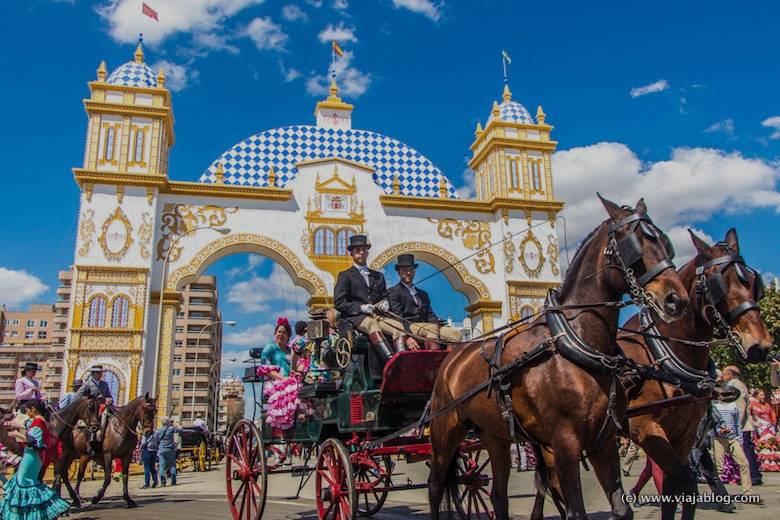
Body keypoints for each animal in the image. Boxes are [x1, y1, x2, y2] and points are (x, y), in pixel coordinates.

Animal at [426, 196, 688, 520]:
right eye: (634, 244)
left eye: (666, 244)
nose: (677, 300)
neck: (578, 342)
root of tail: (453, 356)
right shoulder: (564, 441)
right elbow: (576, 511)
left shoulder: (604, 440)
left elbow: (621, 509)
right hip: (444, 429)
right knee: (435, 486)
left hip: (493, 434)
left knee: (498, 495)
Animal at [532, 228, 772, 520]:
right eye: (719, 282)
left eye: (753, 282)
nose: (761, 345)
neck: (665, 355)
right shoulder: (645, 429)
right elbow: (683, 481)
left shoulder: (685, 435)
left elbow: (677, 487)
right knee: (550, 482)